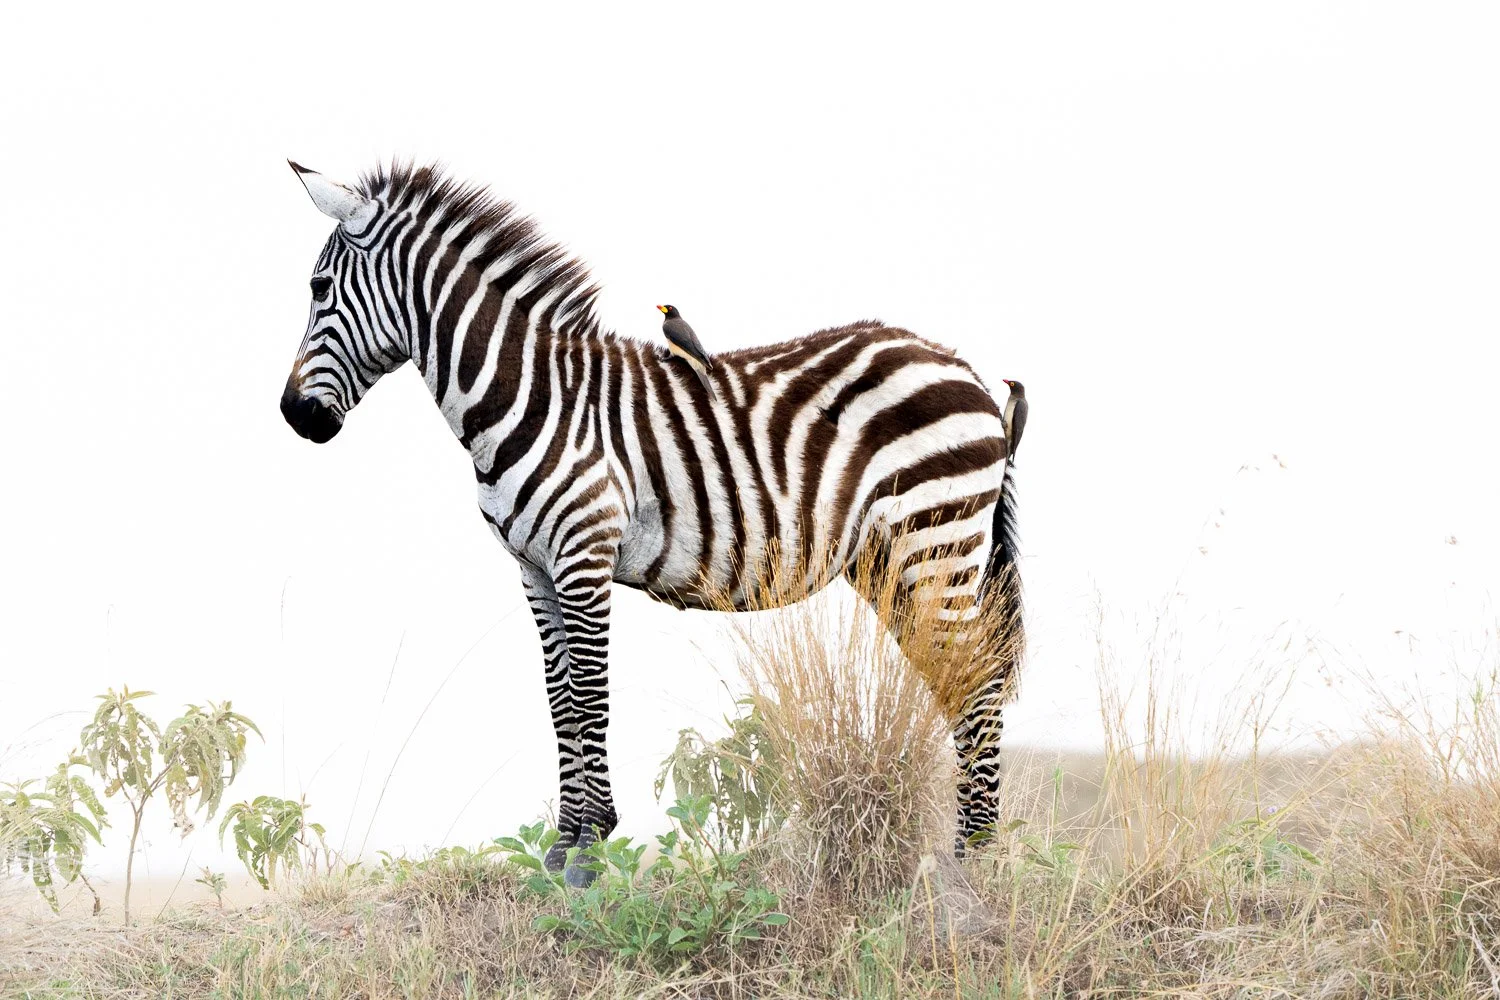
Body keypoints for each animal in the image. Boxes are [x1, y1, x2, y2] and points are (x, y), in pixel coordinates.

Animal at [280, 161, 1024, 884]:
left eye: (318, 287)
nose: (293, 417)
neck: (529, 395)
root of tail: (967, 369)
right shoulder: (533, 569)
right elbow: (557, 698)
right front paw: (561, 851)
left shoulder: (584, 553)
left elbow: (588, 694)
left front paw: (589, 851)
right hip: (893, 559)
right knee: (959, 676)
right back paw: (970, 849)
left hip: (937, 539)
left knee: (978, 679)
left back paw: (975, 858)